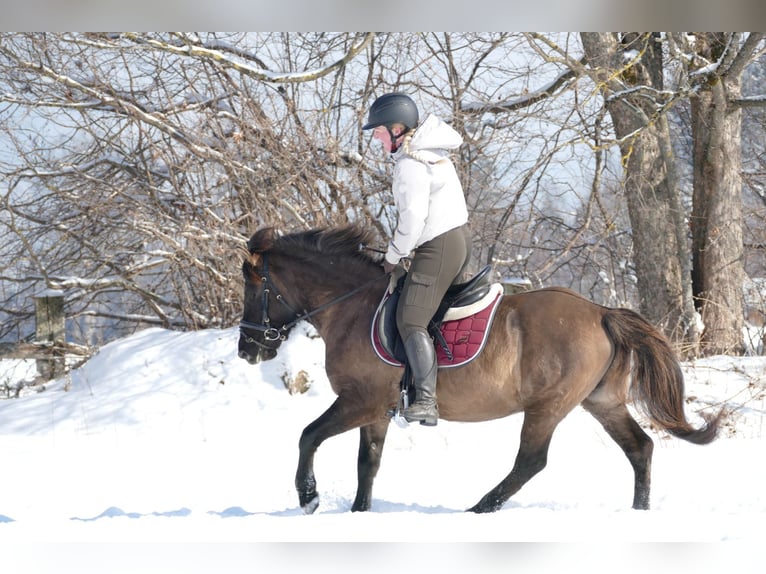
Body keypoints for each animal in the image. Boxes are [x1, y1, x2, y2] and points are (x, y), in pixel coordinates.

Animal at [240, 226, 728, 516]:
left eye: (253, 284)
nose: (248, 348)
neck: (351, 307)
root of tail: (601, 311)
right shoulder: (375, 411)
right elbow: (368, 464)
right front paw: (358, 514)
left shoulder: (360, 402)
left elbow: (308, 436)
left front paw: (308, 496)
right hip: (602, 402)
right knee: (640, 448)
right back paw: (638, 512)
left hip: (548, 406)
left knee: (531, 461)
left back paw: (479, 509)